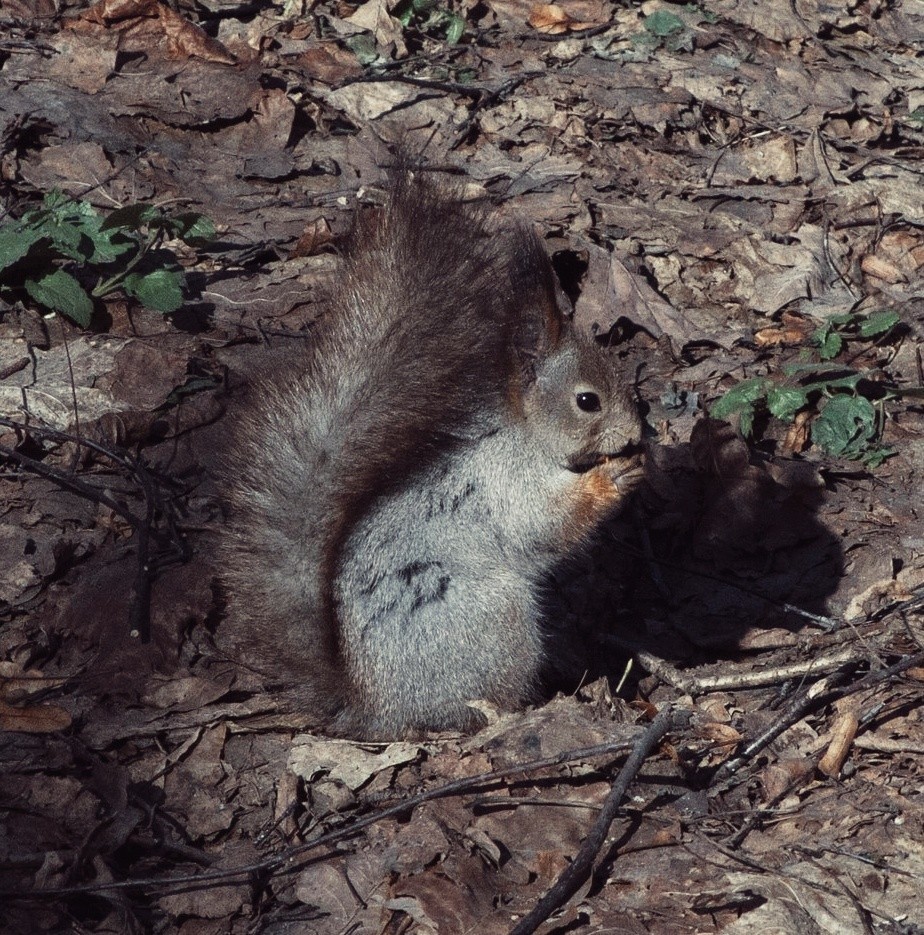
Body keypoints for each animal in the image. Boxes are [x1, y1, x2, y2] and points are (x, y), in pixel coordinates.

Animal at [221, 168, 648, 740]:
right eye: (587, 401)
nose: (636, 432)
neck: (524, 434)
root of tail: (379, 710)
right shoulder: (508, 482)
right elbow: (546, 524)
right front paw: (610, 479)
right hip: (490, 620)